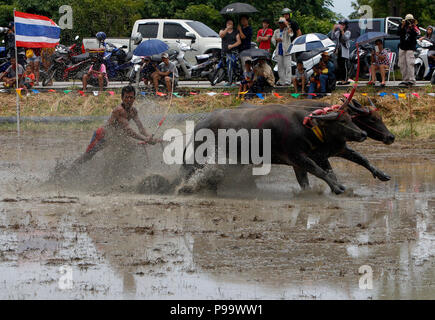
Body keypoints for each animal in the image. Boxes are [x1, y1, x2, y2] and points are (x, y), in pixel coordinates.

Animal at [181, 105, 368, 195]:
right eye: (342, 121)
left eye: (350, 118)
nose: (363, 133)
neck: (301, 126)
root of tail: (199, 125)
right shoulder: (298, 157)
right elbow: (320, 171)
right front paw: (337, 189)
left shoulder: (298, 162)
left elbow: (306, 180)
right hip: (201, 157)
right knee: (190, 170)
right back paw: (186, 188)